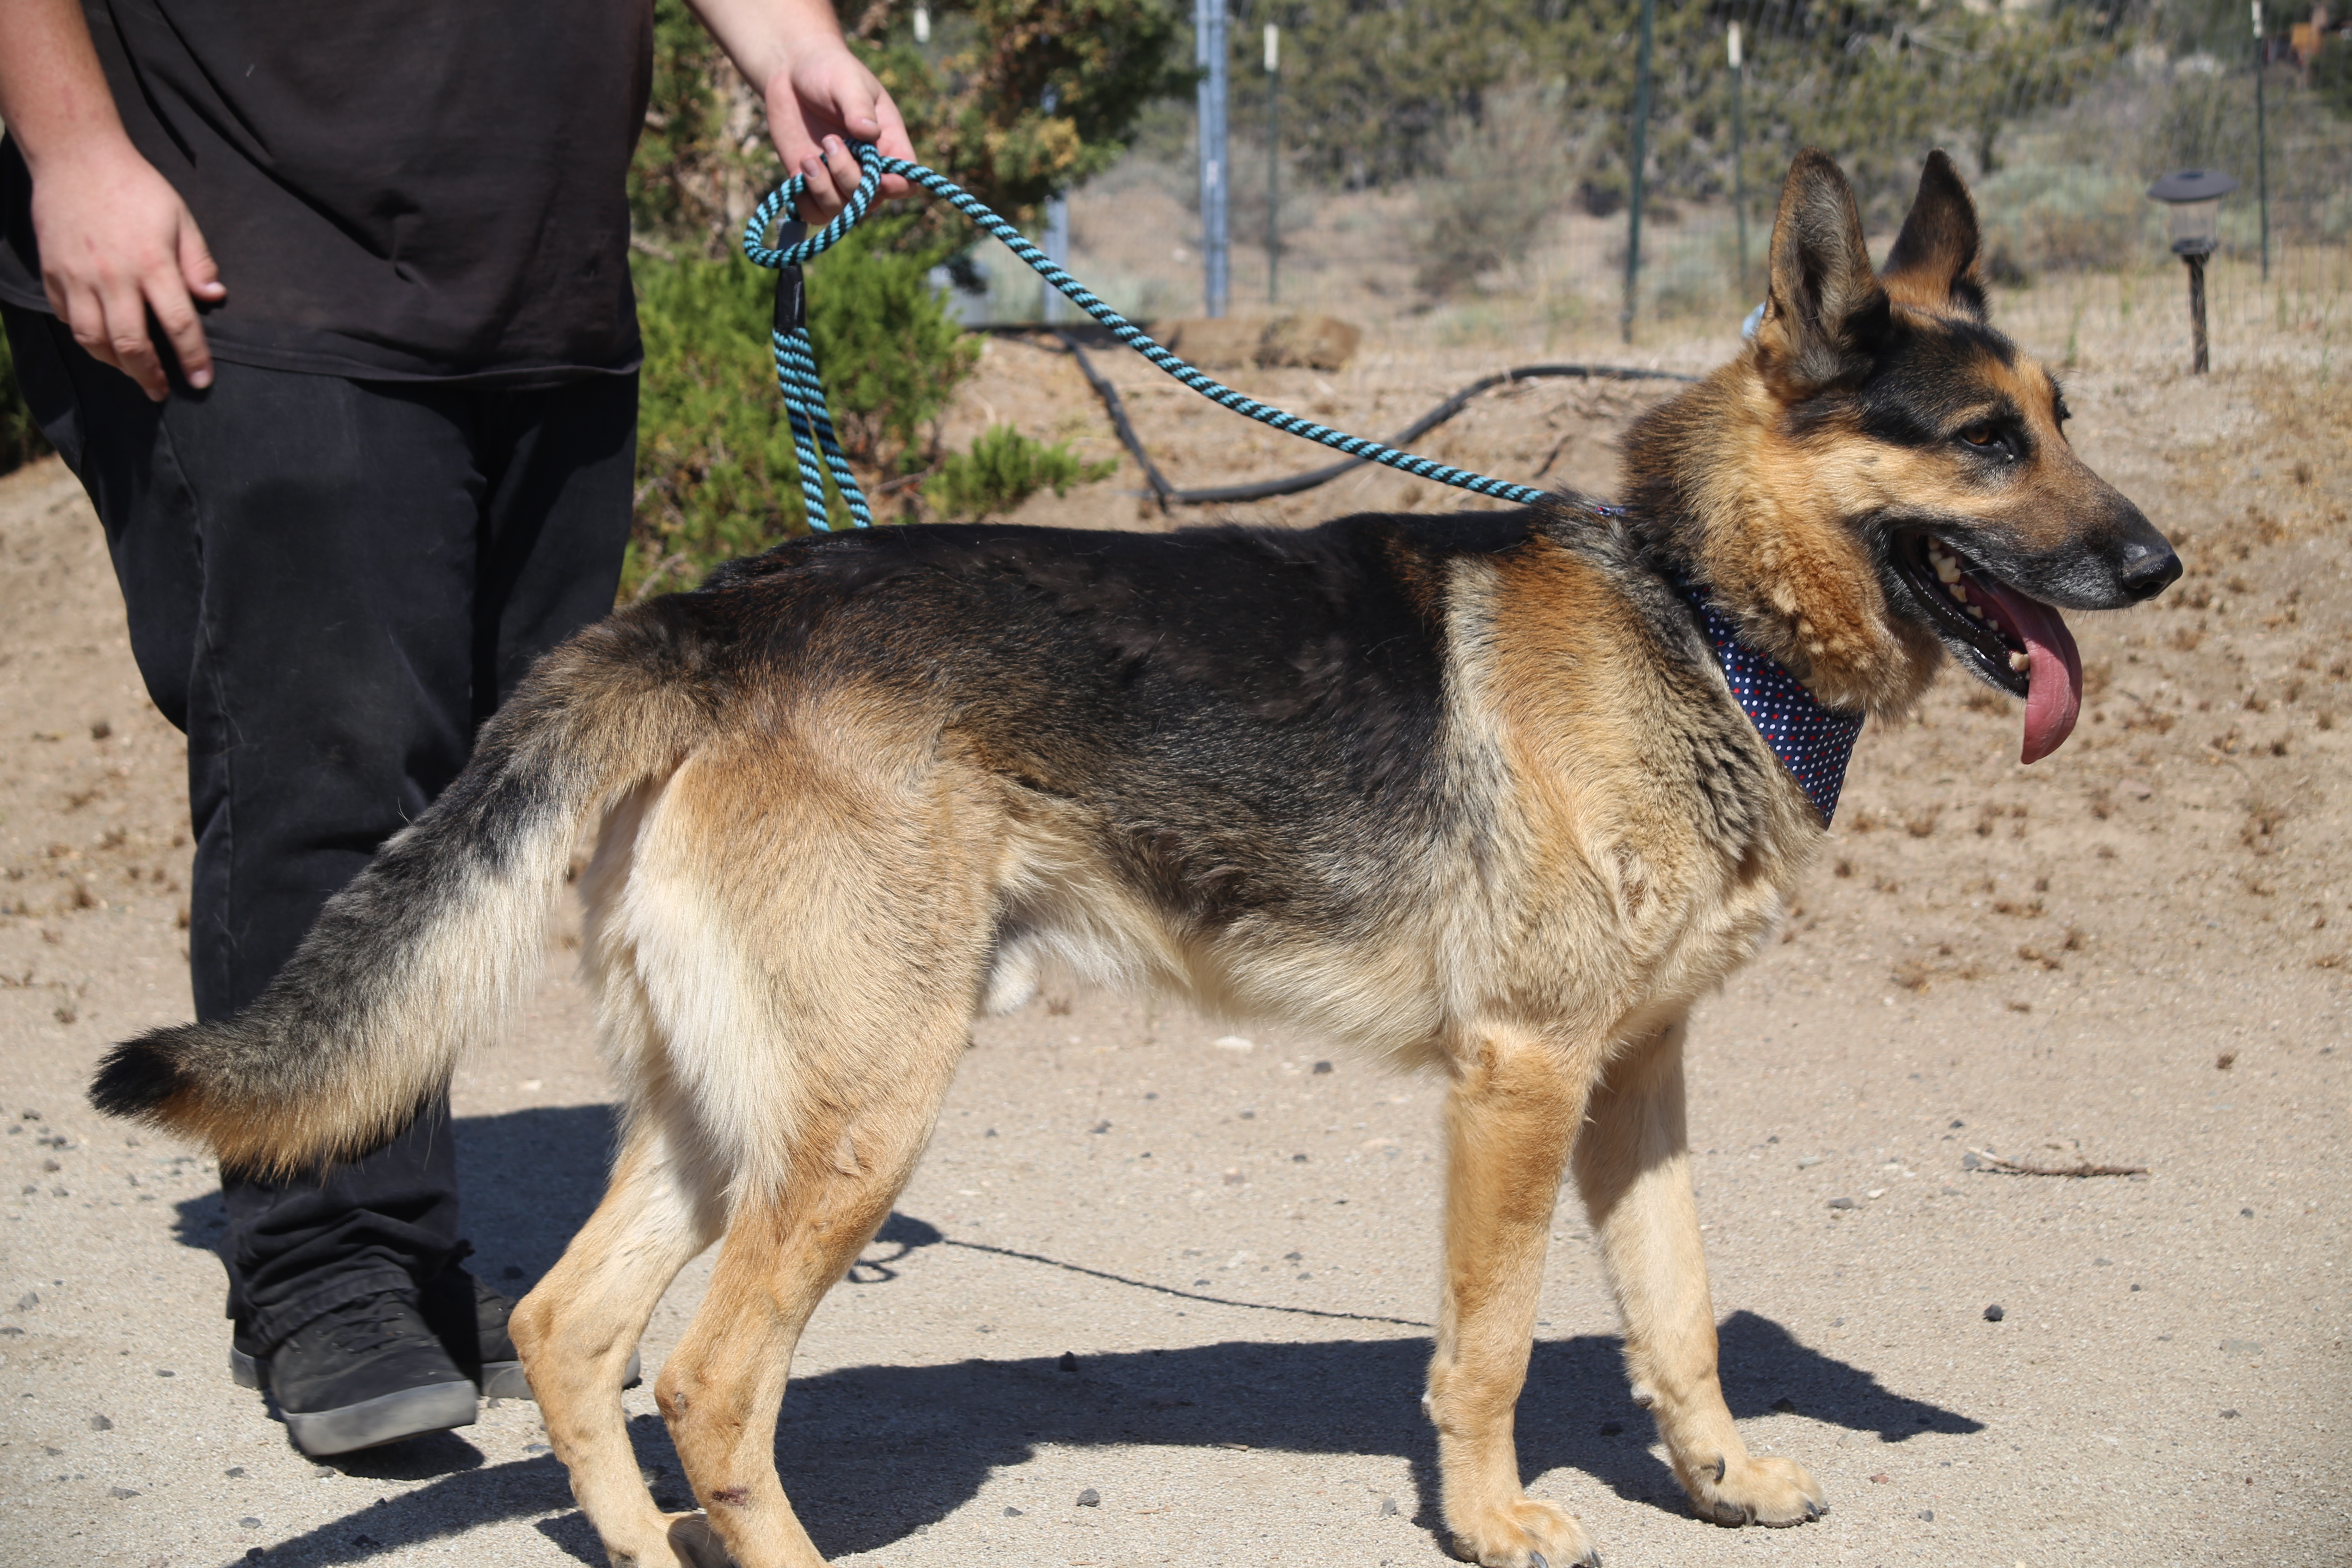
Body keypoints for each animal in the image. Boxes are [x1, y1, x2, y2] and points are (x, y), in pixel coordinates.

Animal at [96, 150, 2183, 1568]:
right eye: (1982, 443)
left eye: (2062, 421)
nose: (2158, 564)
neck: (1694, 604)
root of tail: (713, 610)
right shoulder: (1518, 1082)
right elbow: (1494, 1344)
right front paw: (1496, 1515)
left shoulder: (1637, 1080)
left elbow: (1673, 1311)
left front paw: (1719, 1473)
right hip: (859, 1117)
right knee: (703, 1379)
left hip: (732, 1110)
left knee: (566, 1325)